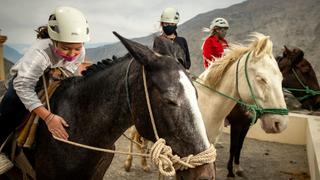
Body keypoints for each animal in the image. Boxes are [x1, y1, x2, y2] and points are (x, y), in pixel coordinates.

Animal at [226, 45, 318, 178]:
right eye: (306, 69)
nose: (318, 101)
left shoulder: (246, 125)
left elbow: (239, 146)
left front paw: (238, 168)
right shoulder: (236, 125)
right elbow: (233, 147)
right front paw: (230, 171)